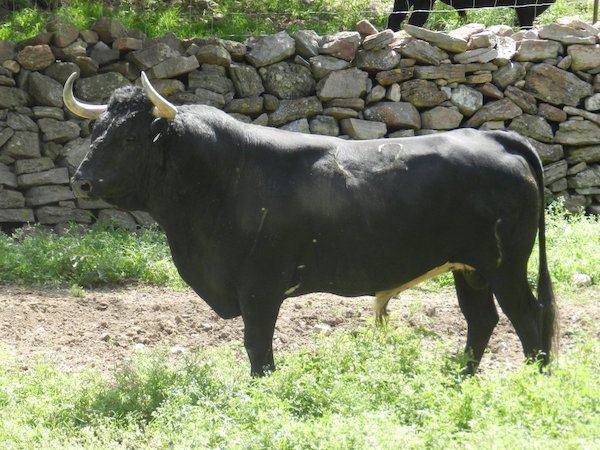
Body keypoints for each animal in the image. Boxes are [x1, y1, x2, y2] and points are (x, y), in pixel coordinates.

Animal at [64, 72, 558, 376]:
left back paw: (533, 380)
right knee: (482, 320)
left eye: (130, 137)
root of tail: (497, 136)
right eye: (96, 131)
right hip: (469, 267)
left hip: (505, 265)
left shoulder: (260, 288)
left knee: (528, 318)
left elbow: (258, 348)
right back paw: (459, 376)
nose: (81, 181)